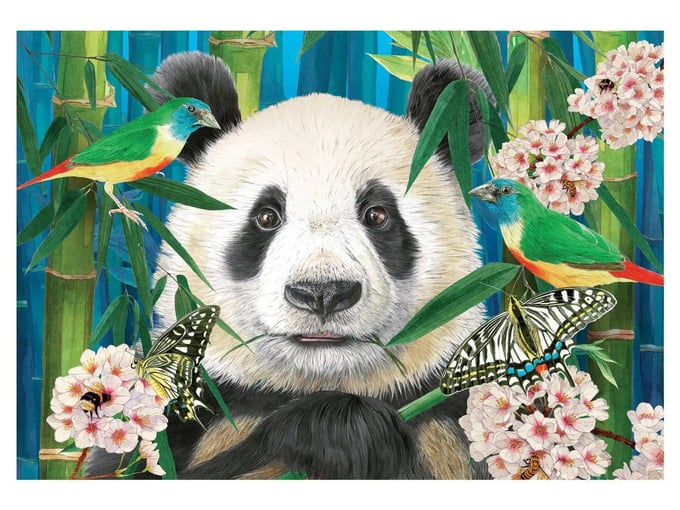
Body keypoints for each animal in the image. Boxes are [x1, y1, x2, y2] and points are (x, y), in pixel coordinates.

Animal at [89, 50, 495, 479]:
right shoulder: (178, 401)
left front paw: (343, 426)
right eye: (266, 216)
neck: (317, 383)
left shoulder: (452, 410)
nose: (323, 293)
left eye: (377, 214)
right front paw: (338, 429)